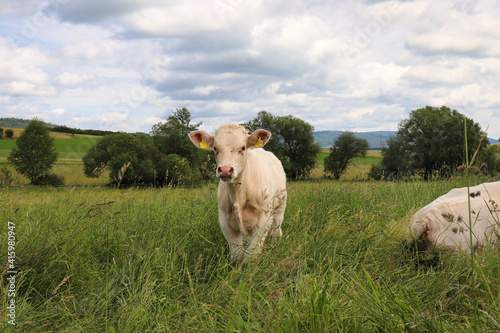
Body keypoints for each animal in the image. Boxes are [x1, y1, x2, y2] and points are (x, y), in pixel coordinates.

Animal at [189, 123, 288, 260]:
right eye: (215, 148)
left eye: (243, 147)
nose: (225, 170)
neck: (238, 195)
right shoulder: (224, 220)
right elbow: (237, 254)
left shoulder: (263, 219)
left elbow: (251, 254)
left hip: (280, 206)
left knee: (276, 228)